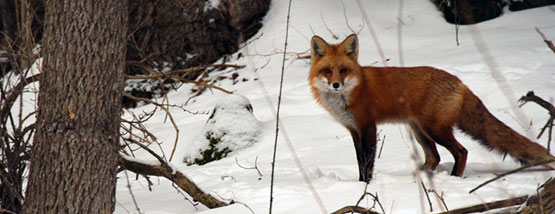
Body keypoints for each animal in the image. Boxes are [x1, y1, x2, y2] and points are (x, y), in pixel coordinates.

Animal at [310, 33, 552, 182]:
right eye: (327, 71)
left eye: (343, 70)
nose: (335, 85)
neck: (349, 94)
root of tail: (460, 81)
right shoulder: (354, 130)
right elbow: (359, 161)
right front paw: (360, 185)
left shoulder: (368, 126)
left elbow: (367, 162)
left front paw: (366, 185)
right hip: (420, 131)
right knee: (434, 157)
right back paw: (421, 177)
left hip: (434, 129)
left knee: (461, 151)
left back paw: (453, 178)